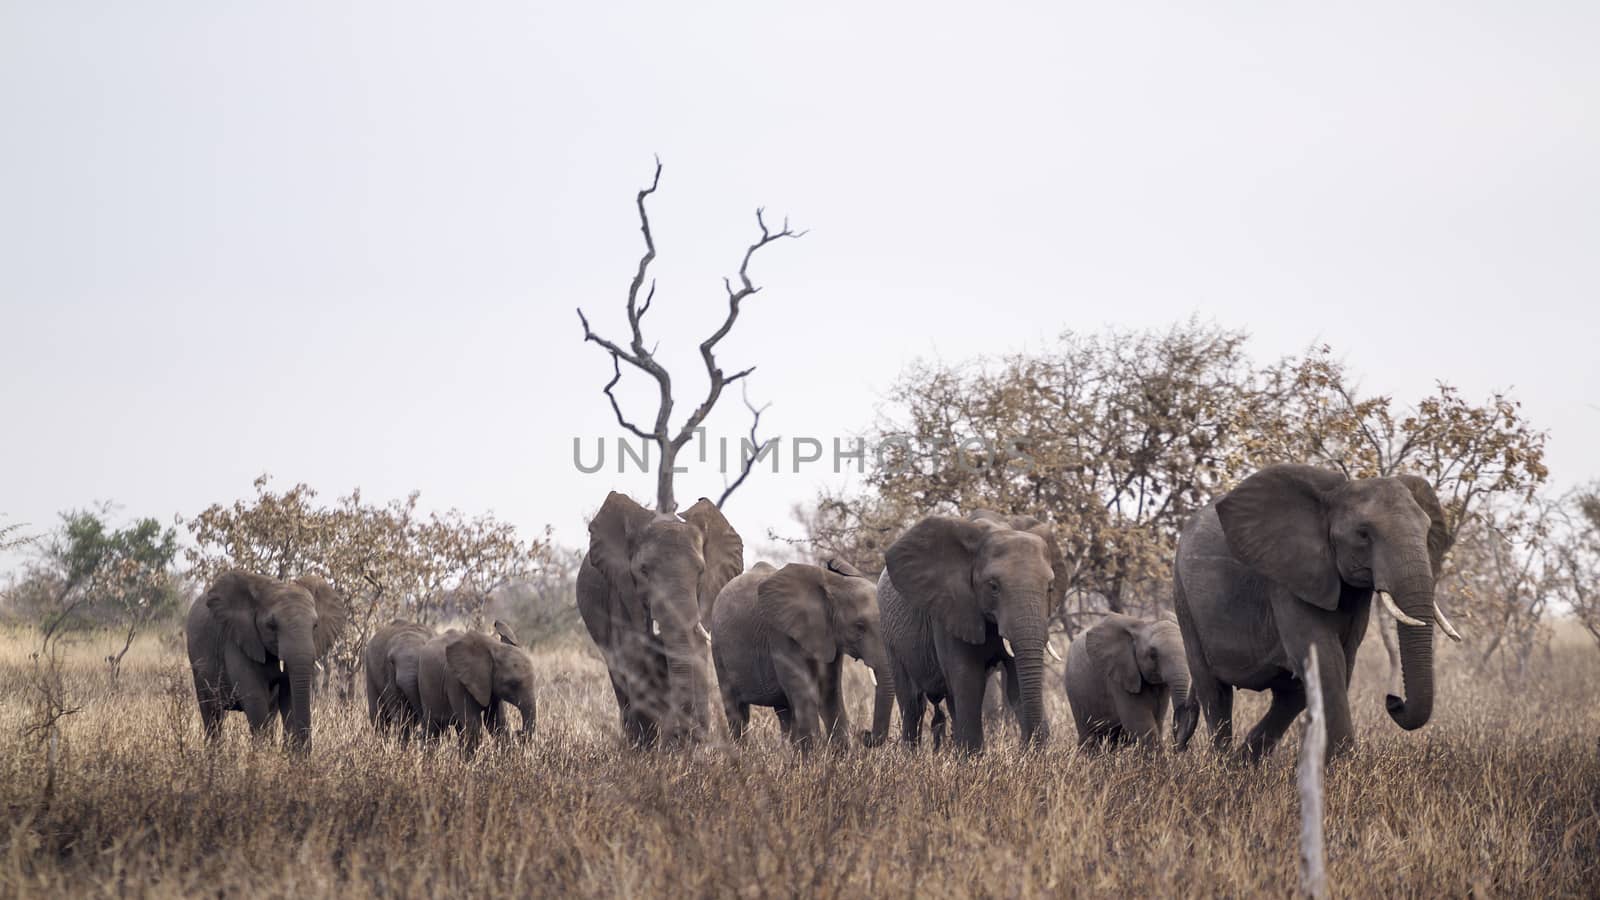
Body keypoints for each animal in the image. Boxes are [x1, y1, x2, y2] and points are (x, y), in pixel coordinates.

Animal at [187, 566, 350, 749]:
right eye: (271, 626)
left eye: (315, 626)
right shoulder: (238, 640)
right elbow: (256, 699)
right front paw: (263, 754)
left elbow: (289, 698)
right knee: (212, 714)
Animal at [710, 557, 896, 746]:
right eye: (859, 626)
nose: (865, 734)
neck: (834, 583)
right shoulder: (780, 633)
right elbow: (804, 691)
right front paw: (815, 754)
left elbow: (829, 691)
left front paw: (838, 753)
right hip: (718, 647)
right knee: (737, 709)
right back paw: (742, 750)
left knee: (784, 711)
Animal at [1068, 608, 1196, 749]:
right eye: (1153, 655)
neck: (1143, 625)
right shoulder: (1119, 675)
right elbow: (1141, 724)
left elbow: (1157, 720)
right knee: (1090, 736)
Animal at [1171, 461, 1459, 762]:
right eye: (1363, 534)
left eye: (1427, 532)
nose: (1393, 701)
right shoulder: (1287, 578)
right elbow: (1326, 658)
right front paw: (1344, 767)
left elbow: (1341, 661)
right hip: (1184, 599)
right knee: (1214, 691)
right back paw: (1223, 764)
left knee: (1290, 695)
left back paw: (1243, 763)